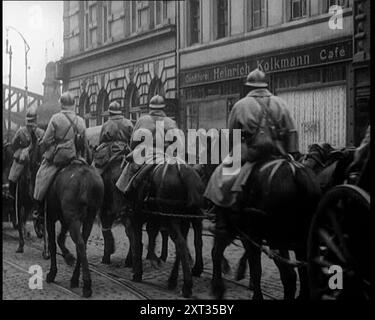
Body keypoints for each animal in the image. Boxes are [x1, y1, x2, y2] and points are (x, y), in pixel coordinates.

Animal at [44, 162, 105, 298]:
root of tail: (86, 179)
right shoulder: (65, 220)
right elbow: (60, 238)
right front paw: (68, 257)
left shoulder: (50, 217)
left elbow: (52, 244)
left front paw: (52, 273)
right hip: (88, 219)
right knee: (82, 244)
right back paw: (75, 279)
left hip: (74, 219)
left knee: (80, 244)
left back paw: (87, 285)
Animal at [210, 157, 322, 300]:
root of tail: (297, 174)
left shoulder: (247, 234)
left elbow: (255, 267)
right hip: (299, 240)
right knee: (302, 273)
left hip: (276, 239)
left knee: (289, 275)